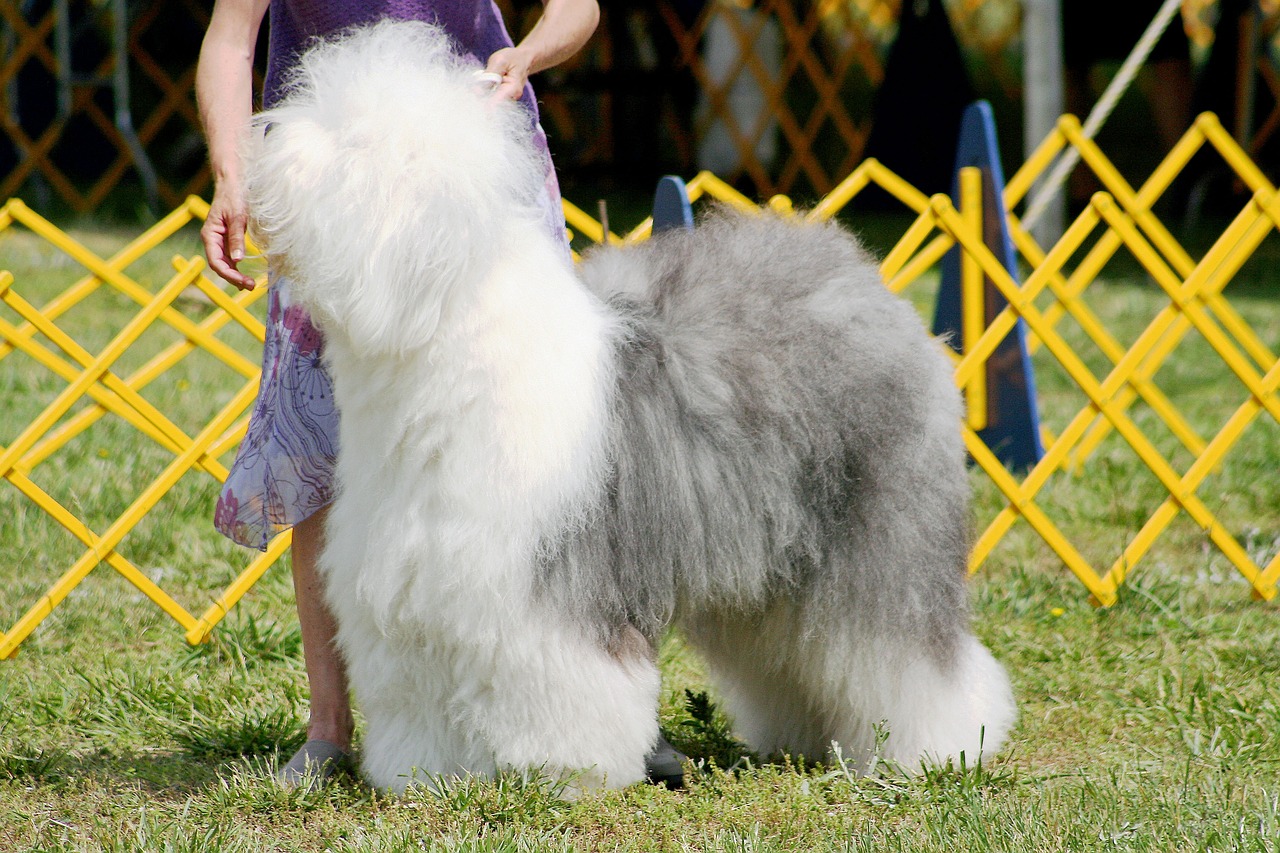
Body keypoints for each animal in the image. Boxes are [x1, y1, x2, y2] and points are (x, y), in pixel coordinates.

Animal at [244, 19, 1013, 788]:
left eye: (350, 144)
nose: (262, 135)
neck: (441, 341)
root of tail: (870, 287)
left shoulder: (544, 593)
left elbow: (561, 687)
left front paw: (562, 773)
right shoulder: (411, 595)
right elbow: (417, 699)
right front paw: (422, 773)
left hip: (877, 539)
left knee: (906, 651)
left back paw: (939, 745)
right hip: (768, 569)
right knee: (791, 654)